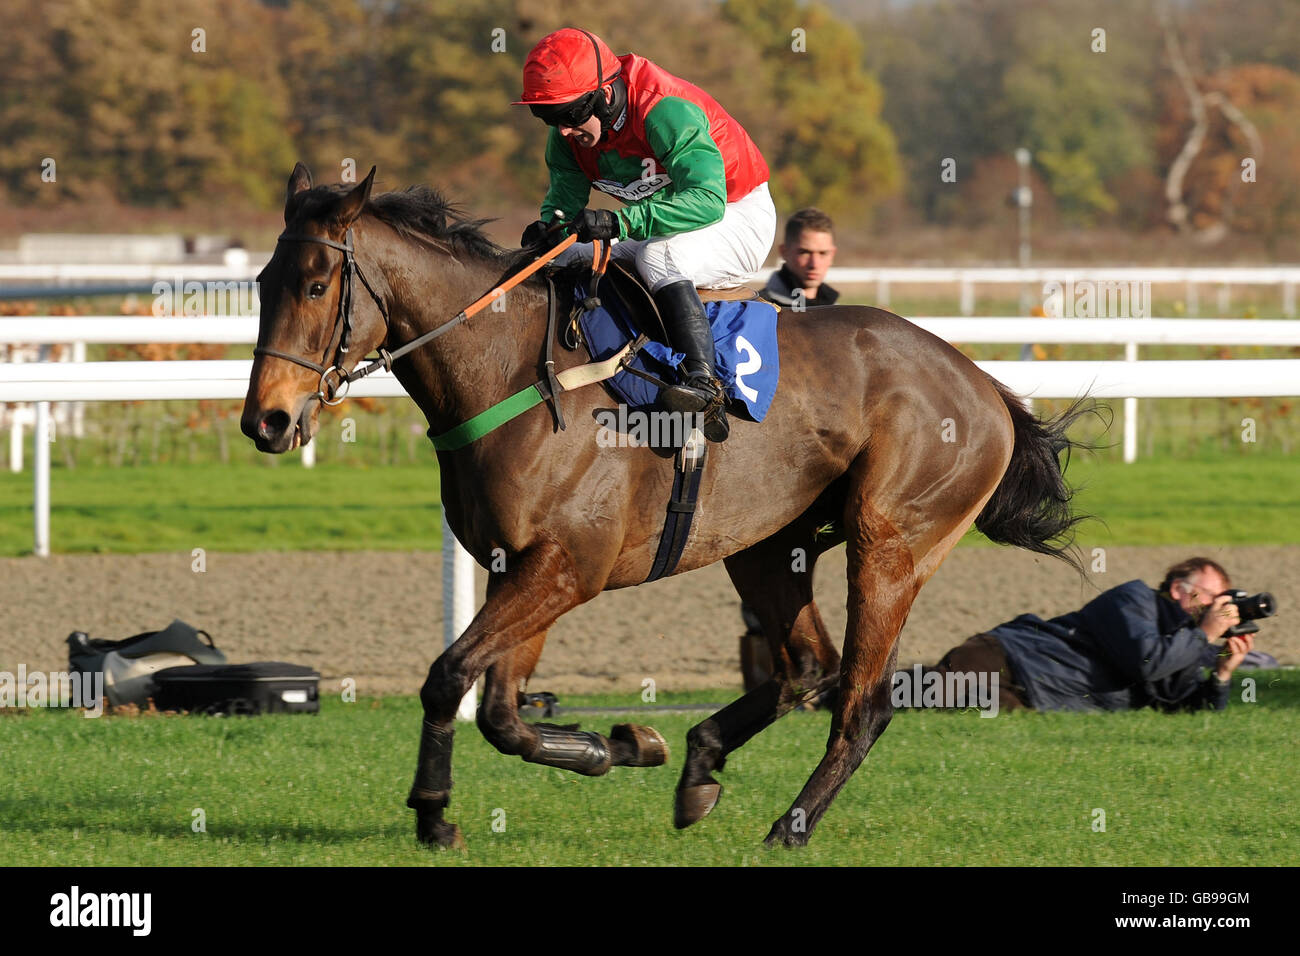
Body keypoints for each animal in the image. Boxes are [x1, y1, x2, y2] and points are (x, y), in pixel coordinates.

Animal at [241, 163, 1088, 849]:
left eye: (316, 285)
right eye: (260, 284)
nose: (267, 421)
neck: (515, 372)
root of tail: (984, 385)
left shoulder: (564, 570)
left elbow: (450, 676)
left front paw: (433, 811)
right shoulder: (521, 568)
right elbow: (503, 713)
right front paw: (621, 744)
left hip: (891, 544)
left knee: (863, 699)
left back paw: (790, 825)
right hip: (768, 545)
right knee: (804, 667)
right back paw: (700, 764)